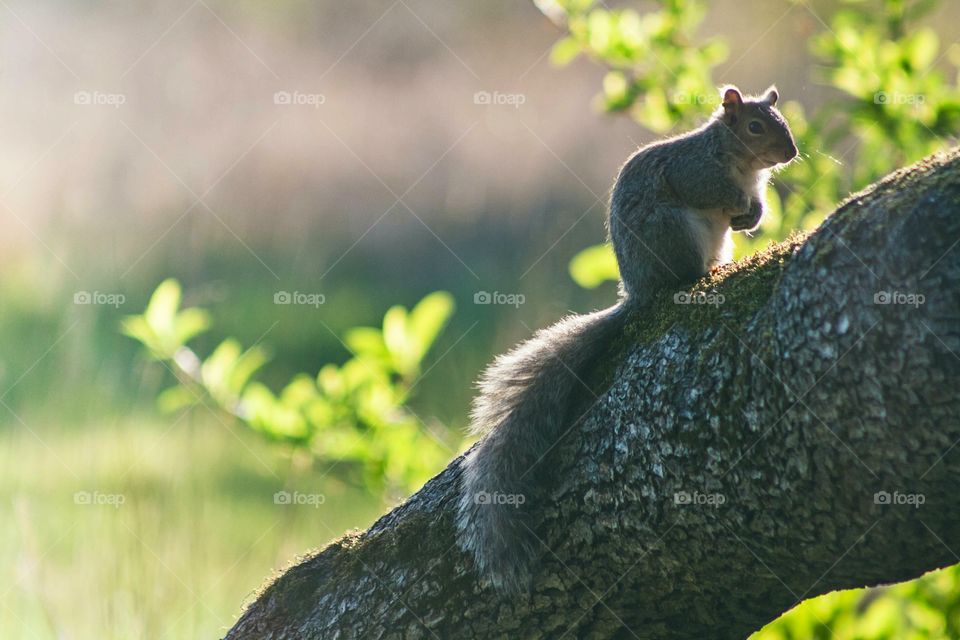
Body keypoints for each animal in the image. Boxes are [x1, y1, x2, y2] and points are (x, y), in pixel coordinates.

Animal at [456, 85, 798, 592]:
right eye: (756, 126)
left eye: (783, 121)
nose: (791, 152)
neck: (739, 161)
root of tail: (639, 292)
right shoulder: (694, 172)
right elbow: (714, 191)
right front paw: (741, 206)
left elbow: (755, 204)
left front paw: (752, 216)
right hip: (671, 228)